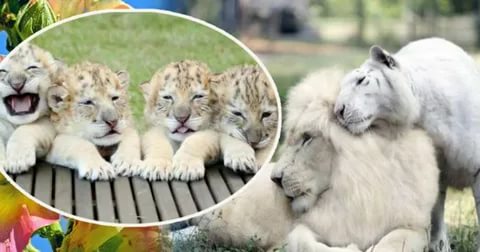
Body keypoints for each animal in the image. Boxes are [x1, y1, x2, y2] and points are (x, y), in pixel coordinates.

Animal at [198, 69, 438, 252]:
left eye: (307, 138)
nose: (275, 179)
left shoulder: (414, 227)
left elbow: (397, 242)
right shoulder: (295, 234)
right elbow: (303, 241)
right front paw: (350, 249)